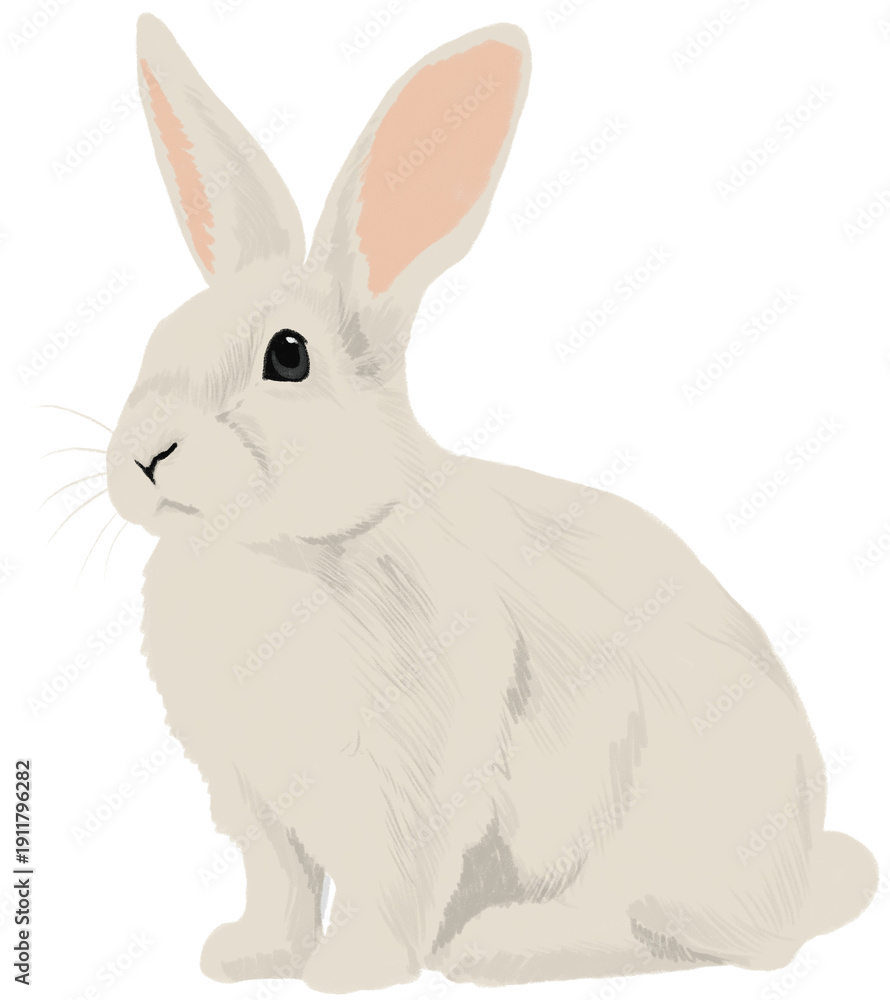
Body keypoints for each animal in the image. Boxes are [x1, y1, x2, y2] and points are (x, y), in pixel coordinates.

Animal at [104, 13, 878, 993]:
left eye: (288, 355)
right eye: (159, 336)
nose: (145, 455)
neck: (283, 549)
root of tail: (803, 875)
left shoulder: (410, 786)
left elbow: (389, 886)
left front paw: (349, 970)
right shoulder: (254, 804)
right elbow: (278, 884)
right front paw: (247, 956)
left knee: (684, 936)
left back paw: (501, 943)